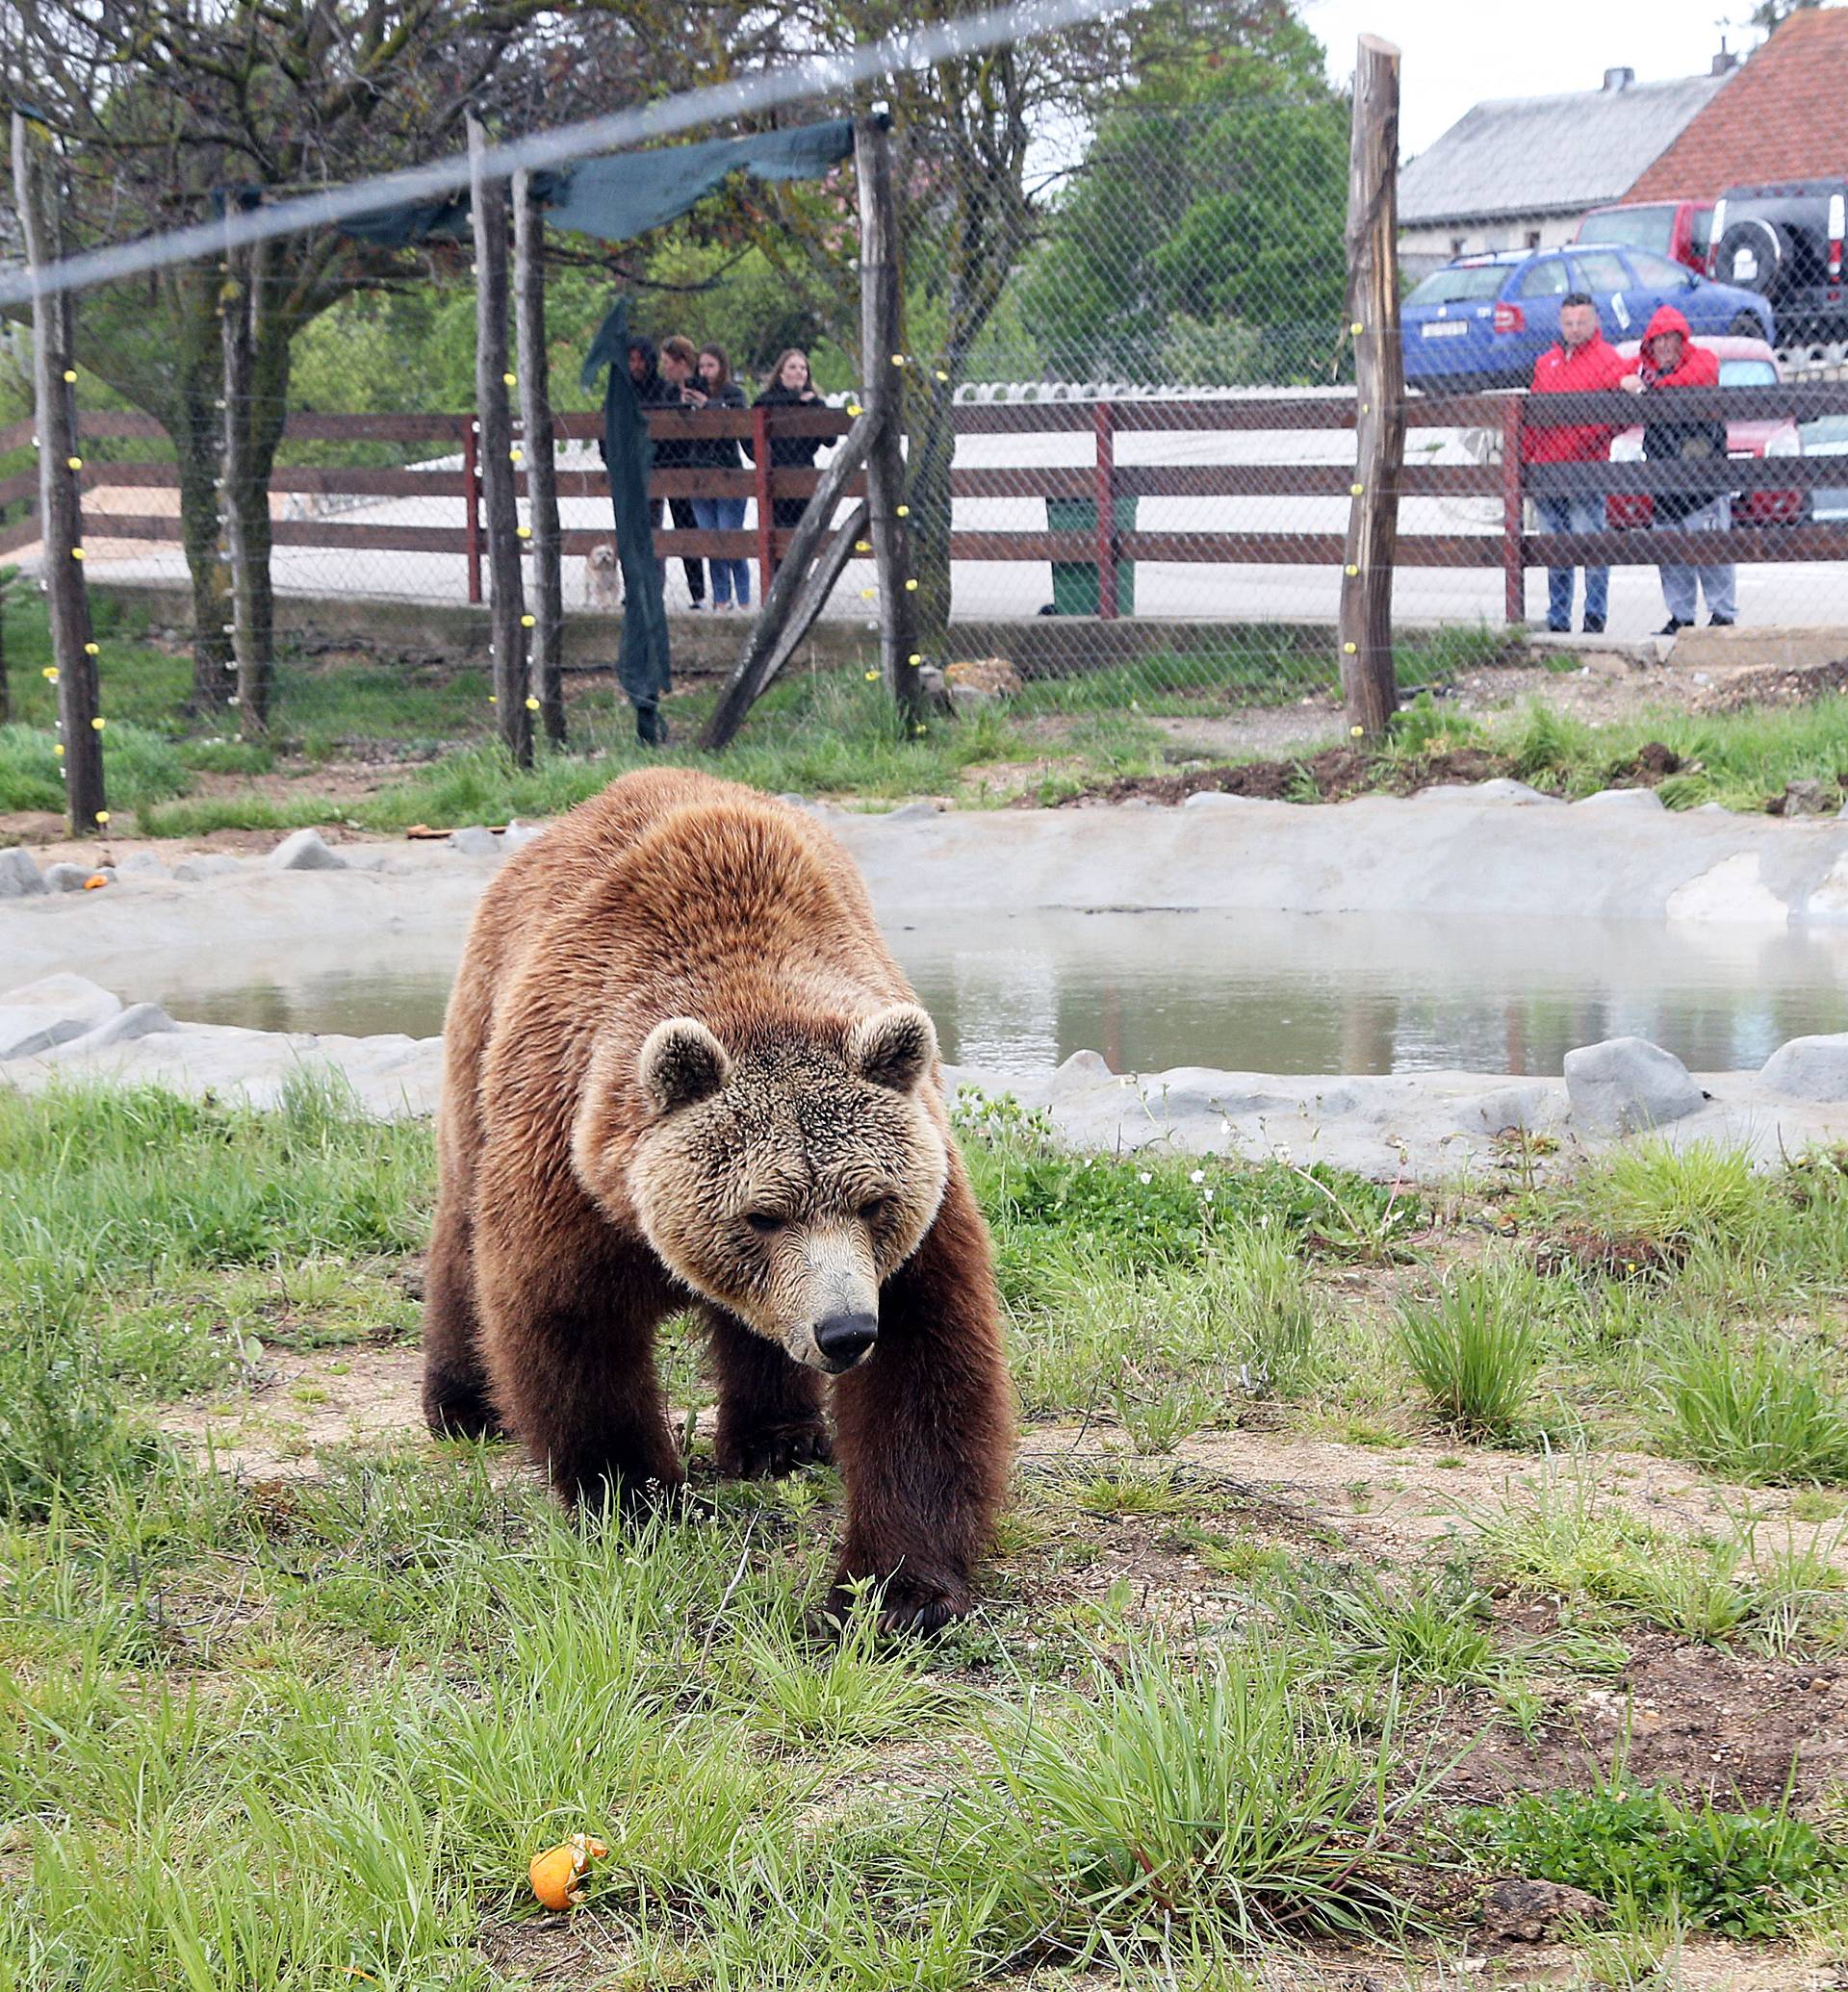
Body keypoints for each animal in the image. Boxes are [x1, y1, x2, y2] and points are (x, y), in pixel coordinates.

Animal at [422, 764, 1012, 1633]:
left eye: (873, 1203)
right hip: (481, 1033)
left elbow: (924, 1367)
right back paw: (463, 1402)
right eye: (761, 1215)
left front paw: (894, 1592)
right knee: (461, 1221)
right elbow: (570, 1320)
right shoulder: (574, 1151)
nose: (844, 1331)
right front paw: (638, 1500)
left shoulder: (918, 1210)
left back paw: (778, 1438)